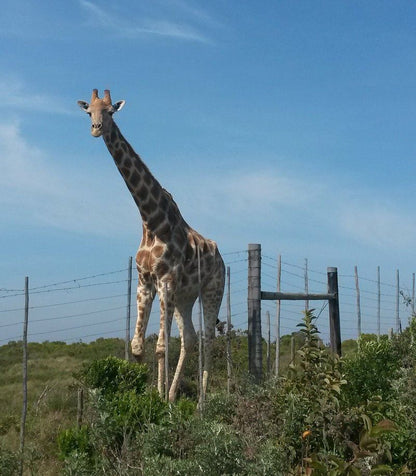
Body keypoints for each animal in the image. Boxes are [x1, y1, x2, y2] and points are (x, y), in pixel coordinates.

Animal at [77, 88, 224, 402]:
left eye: (110, 111)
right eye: (89, 112)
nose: (96, 129)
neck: (151, 221)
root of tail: (221, 259)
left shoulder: (165, 280)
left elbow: (160, 347)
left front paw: (159, 402)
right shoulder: (145, 282)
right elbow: (137, 347)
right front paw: (145, 397)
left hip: (212, 289)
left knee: (208, 339)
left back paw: (201, 403)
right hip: (184, 297)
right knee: (190, 338)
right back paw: (174, 395)